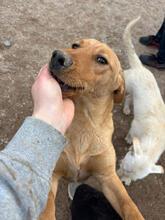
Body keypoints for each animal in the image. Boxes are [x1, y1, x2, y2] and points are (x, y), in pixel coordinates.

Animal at [38, 39, 144, 220]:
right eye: (75, 46)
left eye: (101, 60)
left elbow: (129, 205)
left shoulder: (108, 177)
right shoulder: (51, 175)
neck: (84, 123)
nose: (58, 56)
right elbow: (46, 211)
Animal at [117, 17, 165, 186]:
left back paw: (126, 109)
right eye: (123, 167)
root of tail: (140, 68)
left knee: (129, 99)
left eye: (133, 178)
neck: (153, 139)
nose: (121, 180)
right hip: (126, 84)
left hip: (134, 93)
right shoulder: (134, 126)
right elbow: (131, 135)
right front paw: (128, 139)